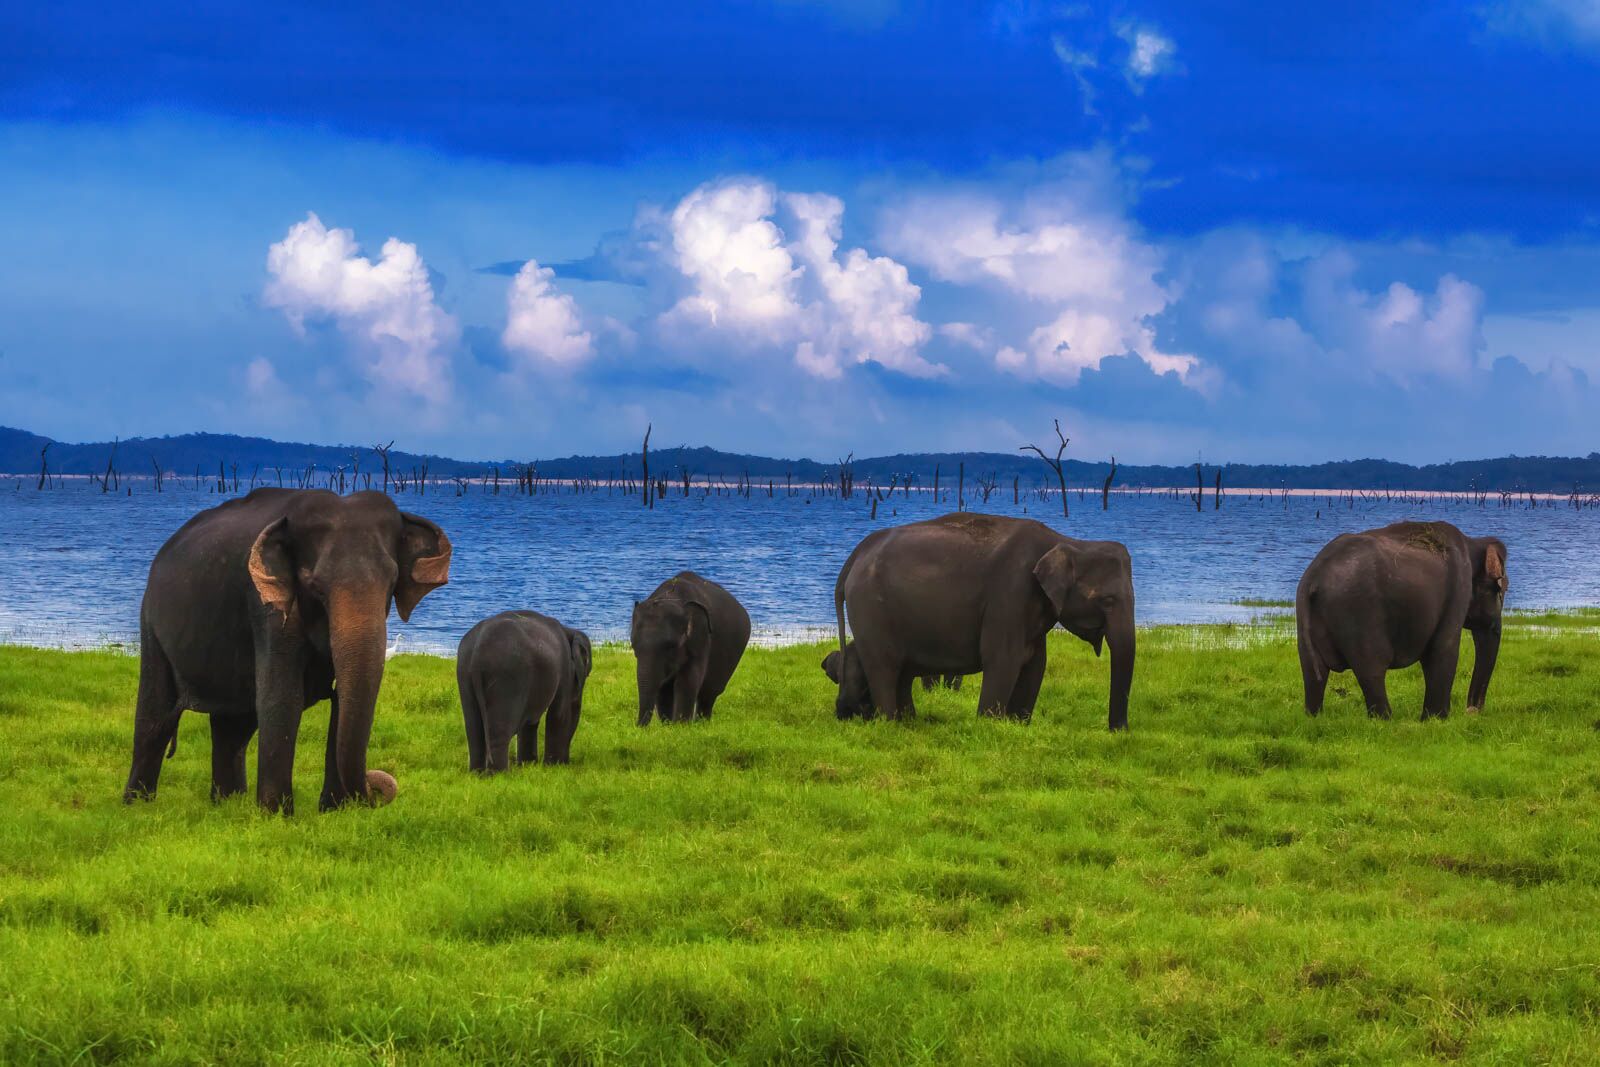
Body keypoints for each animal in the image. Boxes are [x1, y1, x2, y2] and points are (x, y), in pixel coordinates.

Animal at [122, 489, 451, 812]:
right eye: (315, 586)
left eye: (392, 582)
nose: (375, 785)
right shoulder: (265, 603)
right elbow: (282, 697)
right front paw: (277, 814)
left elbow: (340, 699)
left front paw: (334, 811)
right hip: (151, 624)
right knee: (156, 719)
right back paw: (137, 805)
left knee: (233, 726)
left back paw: (227, 805)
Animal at [457, 614, 595, 771]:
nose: (568, 762)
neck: (568, 630)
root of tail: (477, 652)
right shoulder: (564, 670)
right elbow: (559, 713)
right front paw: (554, 767)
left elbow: (530, 720)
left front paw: (527, 766)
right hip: (506, 676)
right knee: (499, 730)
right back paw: (499, 774)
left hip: (464, 673)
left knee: (473, 729)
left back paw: (477, 773)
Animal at [630, 575, 748, 726]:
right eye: (633, 647)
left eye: (671, 646)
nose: (638, 727)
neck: (671, 597)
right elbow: (663, 687)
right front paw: (667, 726)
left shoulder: (701, 636)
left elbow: (687, 681)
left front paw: (680, 726)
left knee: (709, 693)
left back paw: (701, 724)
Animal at [825, 515, 1139, 726]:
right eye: (1108, 600)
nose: (1118, 731)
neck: (1068, 541)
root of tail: (857, 553)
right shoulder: (1009, 594)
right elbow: (1003, 660)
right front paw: (989, 725)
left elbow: (1036, 665)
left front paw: (1017, 726)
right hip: (871, 610)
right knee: (884, 668)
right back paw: (890, 724)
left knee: (901, 673)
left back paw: (908, 722)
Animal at [1292, 521, 1504, 723]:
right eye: (1500, 591)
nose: (1472, 711)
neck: (1472, 542)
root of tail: (1313, 579)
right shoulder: (1458, 588)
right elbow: (1444, 649)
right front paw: (1436, 720)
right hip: (1357, 613)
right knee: (1372, 670)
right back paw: (1385, 720)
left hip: (1306, 619)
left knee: (1313, 671)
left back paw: (1314, 717)